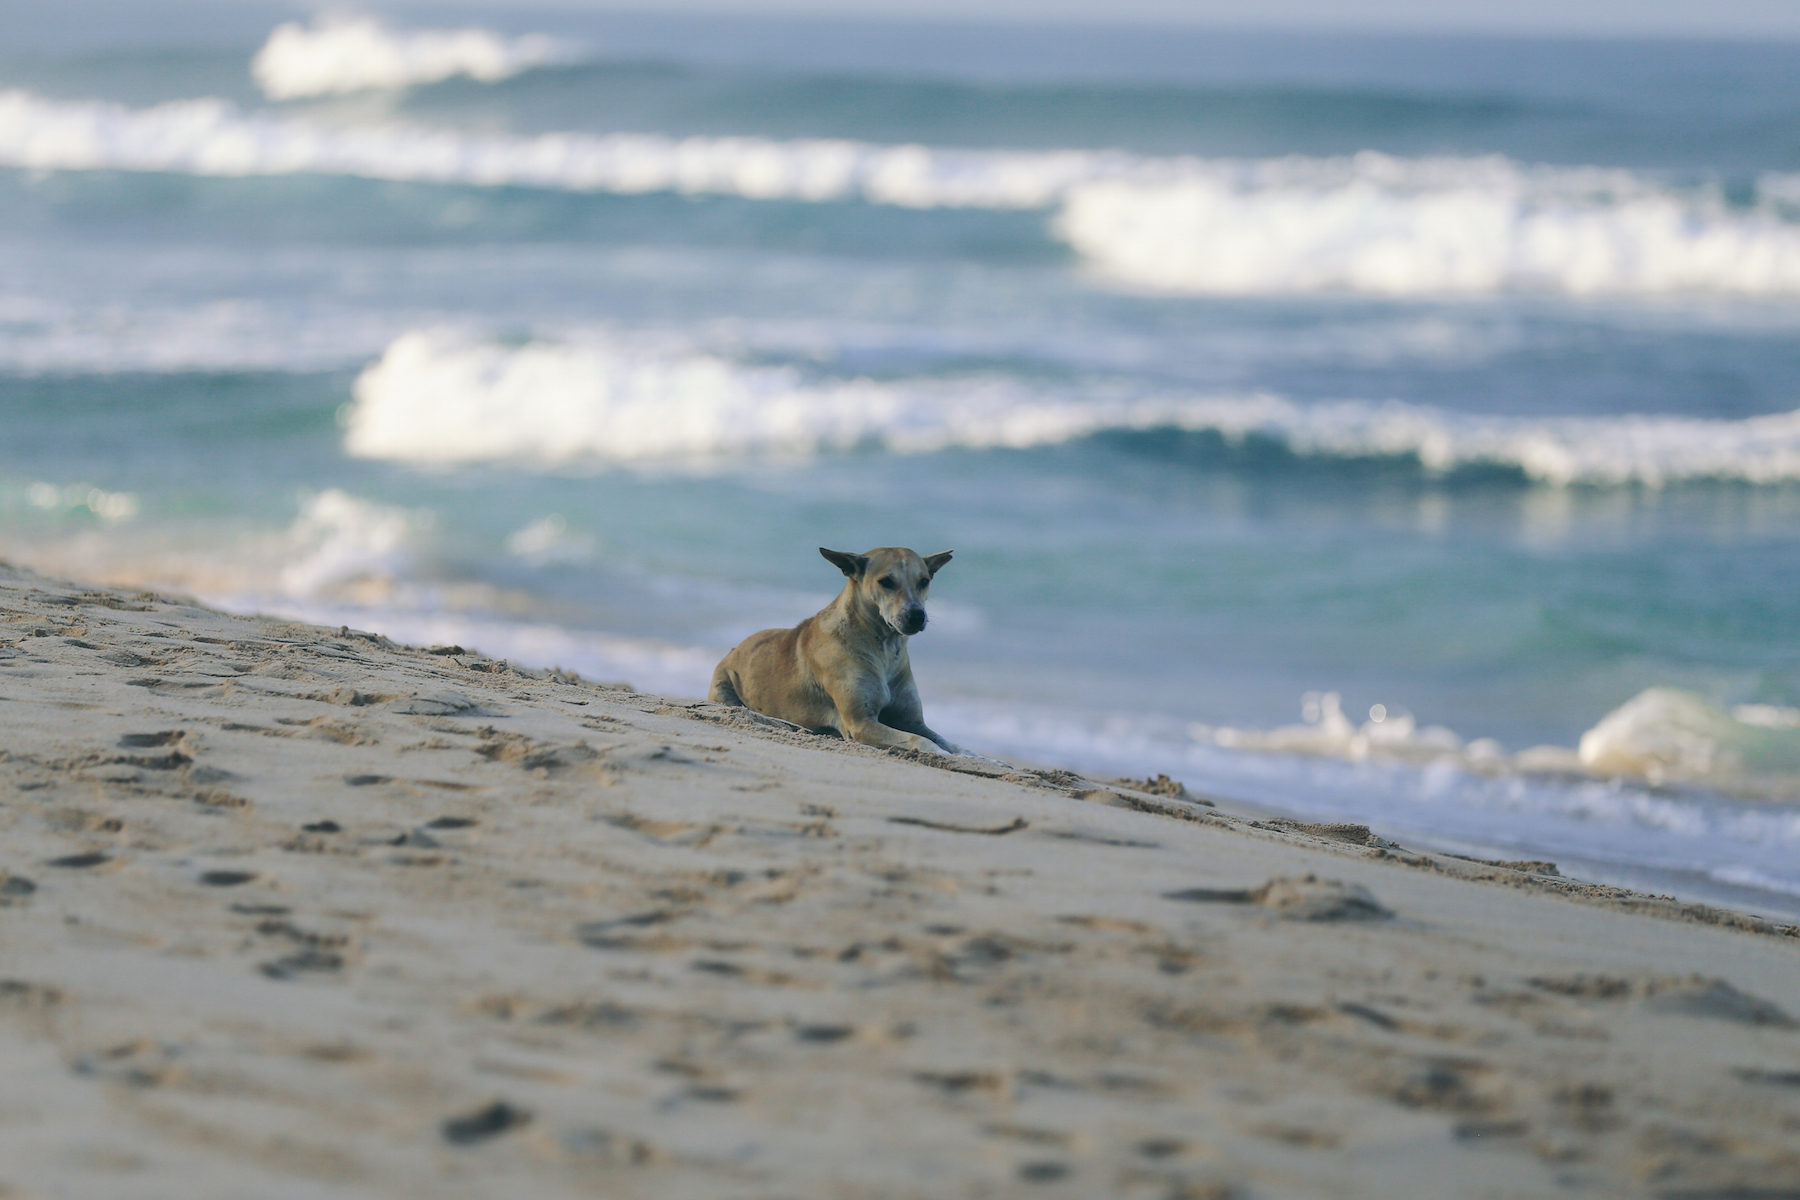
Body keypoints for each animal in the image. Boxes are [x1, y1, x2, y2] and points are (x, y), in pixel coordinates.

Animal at [705, 550, 964, 755]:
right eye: (886, 581)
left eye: (924, 581)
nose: (916, 615)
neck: (884, 648)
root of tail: (735, 648)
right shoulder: (860, 722)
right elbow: (916, 739)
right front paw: (940, 752)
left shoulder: (911, 720)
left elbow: (942, 739)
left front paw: (967, 754)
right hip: (724, 687)